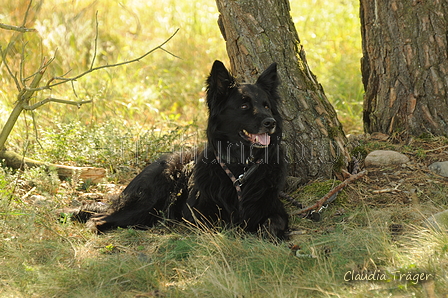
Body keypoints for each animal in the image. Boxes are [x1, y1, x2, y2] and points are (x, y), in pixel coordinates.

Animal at [86, 60, 288, 237]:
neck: (240, 167)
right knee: (98, 217)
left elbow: (274, 223)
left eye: (266, 106)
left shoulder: (273, 208)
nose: (271, 122)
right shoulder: (197, 214)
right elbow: (219, 224)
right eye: (244, 105)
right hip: (147, 201)